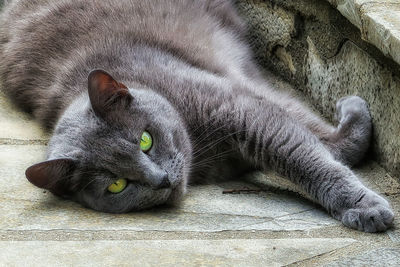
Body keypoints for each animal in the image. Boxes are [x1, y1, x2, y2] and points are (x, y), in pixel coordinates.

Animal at [0, 0, 394, 232]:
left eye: (146, 140)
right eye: (116, 185)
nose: (161, 180)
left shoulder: (242, 104)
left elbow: (310, 154)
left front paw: (366, 206)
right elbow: (311, 143)